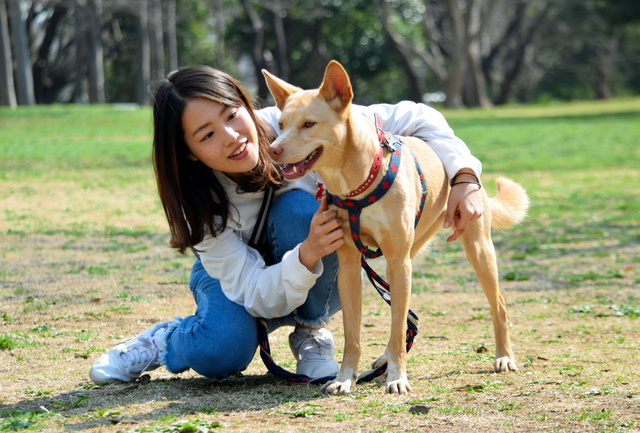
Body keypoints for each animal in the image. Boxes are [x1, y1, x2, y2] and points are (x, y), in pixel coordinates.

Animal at [262, 60, 528, 394]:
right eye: (281, 124)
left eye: (309, 124)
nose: (273, 149)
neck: (357, 181)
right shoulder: (350, 266)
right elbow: (353, 335)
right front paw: (345, 378)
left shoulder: (399, 261)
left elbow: (398, 328)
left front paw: (398, 378)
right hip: (402, 258)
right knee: (400, 313)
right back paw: (386, 357)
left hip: (473, 250)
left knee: (499, 306)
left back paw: (503, 357)